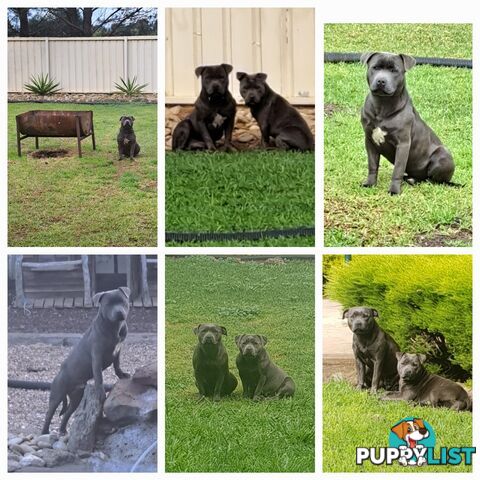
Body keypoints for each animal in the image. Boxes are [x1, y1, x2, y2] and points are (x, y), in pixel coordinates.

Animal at [41, 286, 130, 436]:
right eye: (108, 304)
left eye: (122, 301)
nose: (119, 312)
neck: (114, 327)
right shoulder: (97, 357)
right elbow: (99, 377)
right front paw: (101, 392)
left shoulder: (118, 350)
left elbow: (117, 365)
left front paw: (122, 375)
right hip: (57, 395)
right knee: (49, 413)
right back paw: (44, 432)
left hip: (76, 398)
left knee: (67, 414)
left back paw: (63, 430)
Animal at [362, 52, 456, 195]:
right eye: (375, 67)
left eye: (394, 70)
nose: (381, 81)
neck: (383, 105)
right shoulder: (370, 141)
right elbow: (372, 165)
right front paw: (370, 184)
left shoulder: (403, 144)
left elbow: (398, 169)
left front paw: (394, 191)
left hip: (442, 154)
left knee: (435, 181)